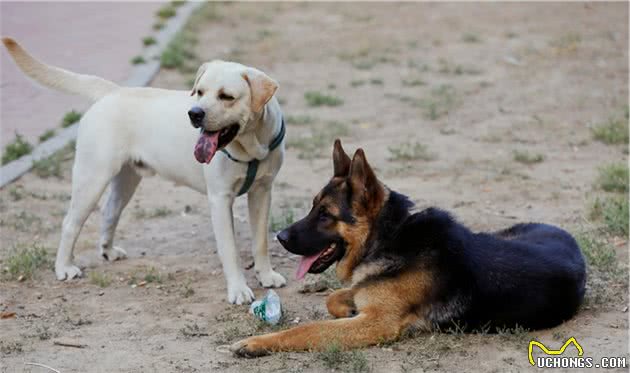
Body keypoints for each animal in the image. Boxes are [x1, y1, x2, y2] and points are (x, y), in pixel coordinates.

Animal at [1, 37, 286, 304]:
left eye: (227, 96)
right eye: (200, 92)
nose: (194, 113)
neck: (251, 148)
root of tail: (111, 91)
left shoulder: (263, 192)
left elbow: (260, 241)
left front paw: (266, 275)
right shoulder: (220, 199)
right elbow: (231, 250)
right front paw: (238, 289)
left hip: (126, 179)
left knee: (110, 211)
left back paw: (108, 250)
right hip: (92, 177)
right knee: (70, 223)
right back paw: (64, 268)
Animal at [231, 139, 588, 354]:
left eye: (325, 214)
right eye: (312, 207)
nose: (279, 237)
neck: (390, 237)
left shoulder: (377, 324)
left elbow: (308, 330)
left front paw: (256, 342)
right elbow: (334, 297)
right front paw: (347, 304)